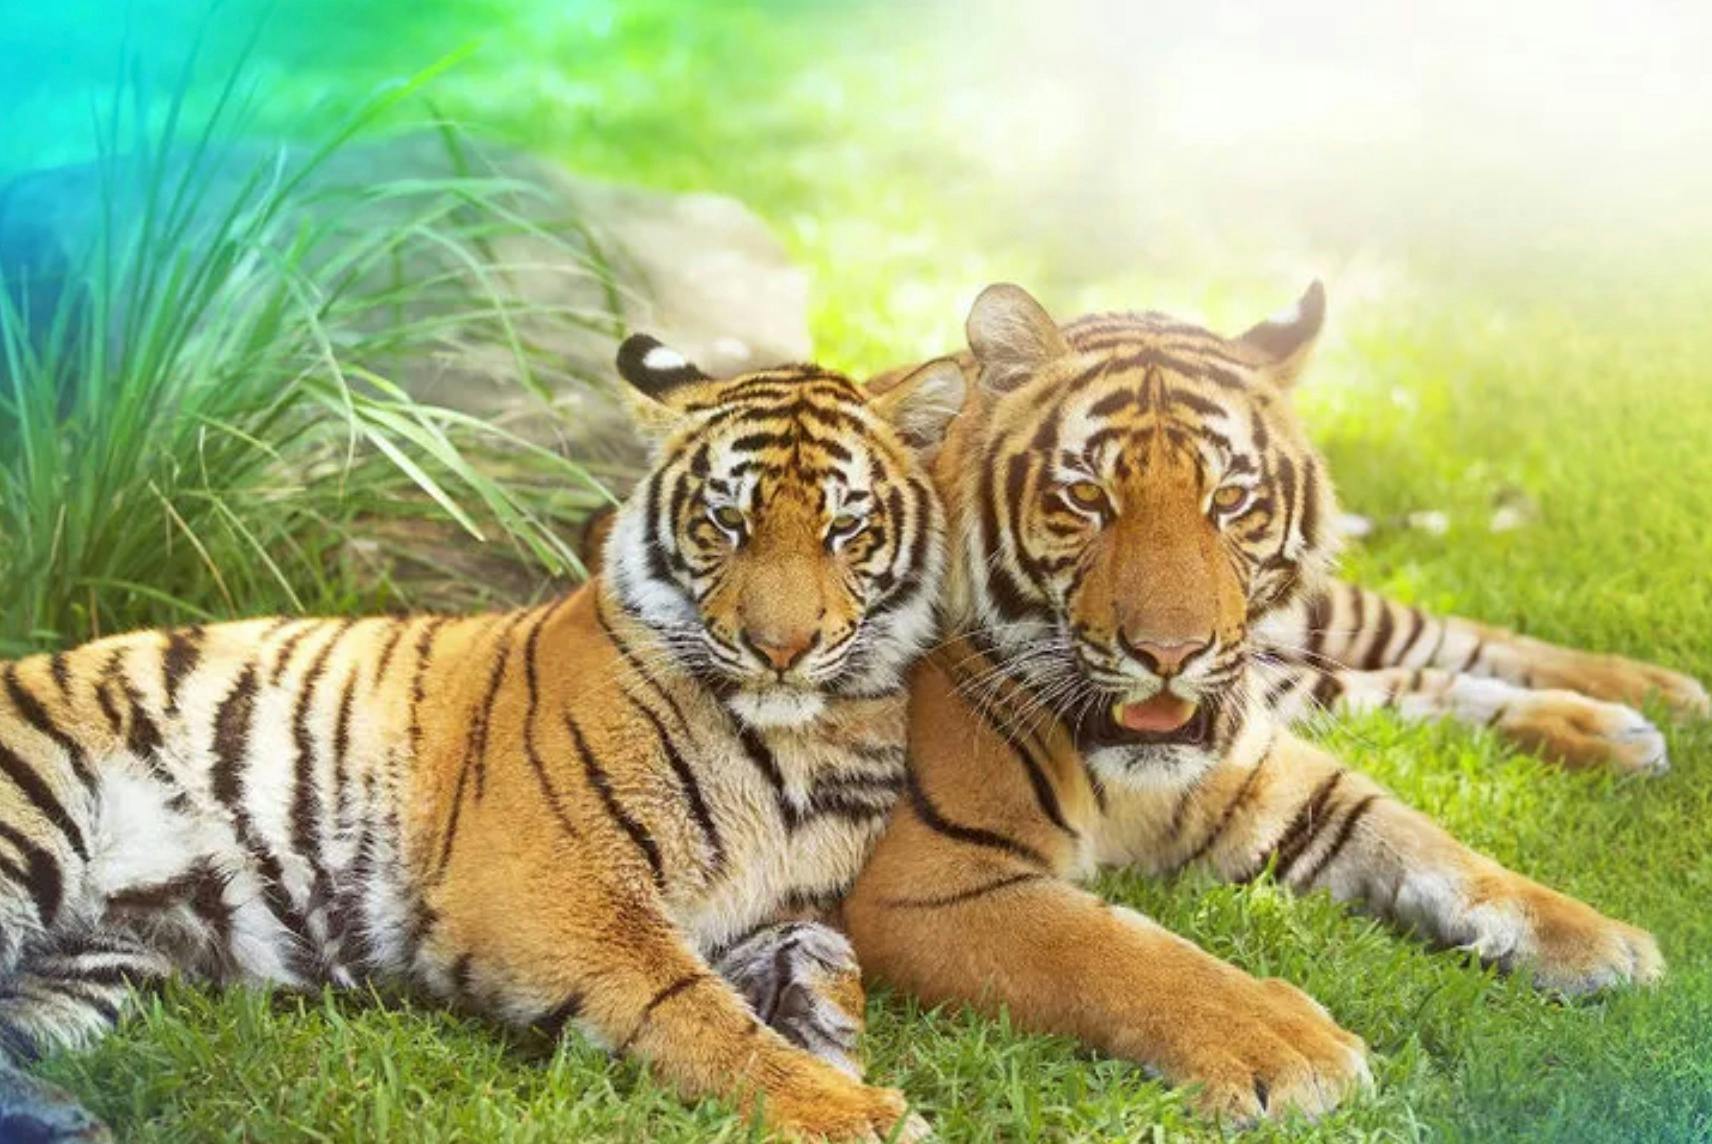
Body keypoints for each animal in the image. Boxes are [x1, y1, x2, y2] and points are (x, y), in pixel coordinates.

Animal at [0, 334, 965, 1143]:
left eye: (845, 528)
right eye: (727, 522)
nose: (779, 649)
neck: (802, 744)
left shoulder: (774, 907)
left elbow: (831, 958)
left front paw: (830, 1035)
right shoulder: (556, 891)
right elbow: (694, 1008)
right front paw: (854, 1109)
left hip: (98, 961)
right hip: (31, 825)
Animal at [843, 282, 1668, 1125]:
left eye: (1231, 499)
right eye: (1086, 497)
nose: (1168, 654)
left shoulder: (1264, 771)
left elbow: (1427, 842)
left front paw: (1595, 937)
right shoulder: (927, 879)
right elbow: (1113, 951)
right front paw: (1286, 1045)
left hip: (1314, 627)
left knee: (1427, 633)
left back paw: (1646, 695)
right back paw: (1616, 724)